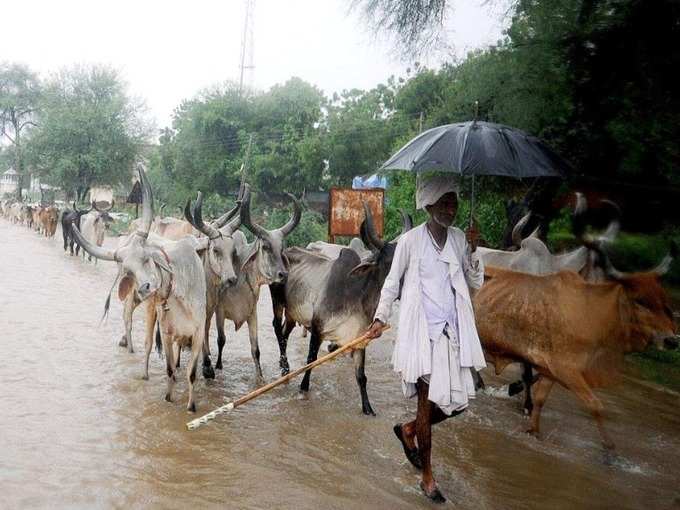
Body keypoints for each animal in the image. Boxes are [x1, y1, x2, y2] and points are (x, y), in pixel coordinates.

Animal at [476, 243, 676, 458]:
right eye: (640, 301)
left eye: (663, 300)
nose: (672, 339)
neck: (589, 314)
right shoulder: (565, 369)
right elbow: (595, 405)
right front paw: (610, 449)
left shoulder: (551, 369)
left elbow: (540, 398)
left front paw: (533, 429)